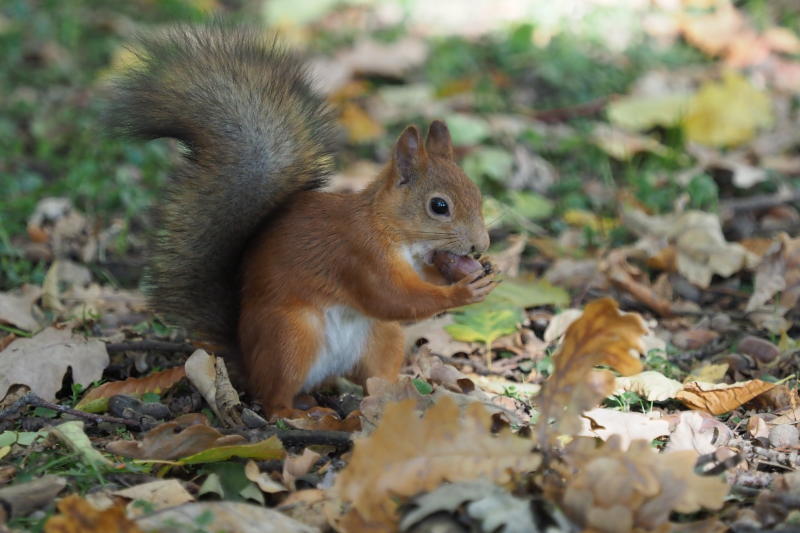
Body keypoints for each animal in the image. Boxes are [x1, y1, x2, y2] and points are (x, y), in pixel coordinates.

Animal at [106, 25, 494, 414]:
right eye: (439, 206)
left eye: (478, 195)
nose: (481, 245)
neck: (394, 232)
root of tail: (248, 363)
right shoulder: (358, 256)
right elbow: (393, 299)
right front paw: (463, 290)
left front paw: (477, 271)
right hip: (290, 338)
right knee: (273, 396)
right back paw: (297, 413)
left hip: (380, 339)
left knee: (372, 377)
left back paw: (392, 392)